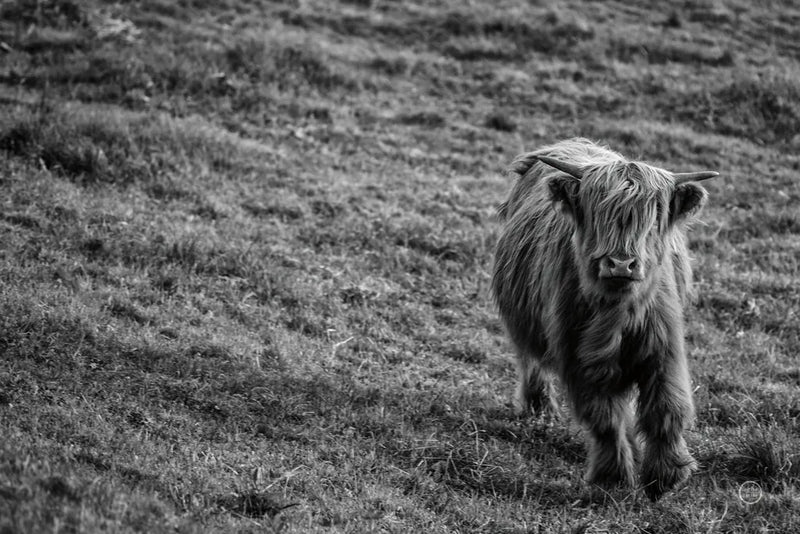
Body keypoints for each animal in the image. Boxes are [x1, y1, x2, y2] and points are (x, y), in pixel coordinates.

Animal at [491, 137, 718, 500]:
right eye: (597, 211)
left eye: (653, 217)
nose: (621, 264)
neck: (617, 314)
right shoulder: (579, 359)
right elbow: (605, 419)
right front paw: (613, 478)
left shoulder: (664, 351)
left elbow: (667, 409)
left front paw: (666, 475)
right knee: (530, 358)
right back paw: (539, 408)